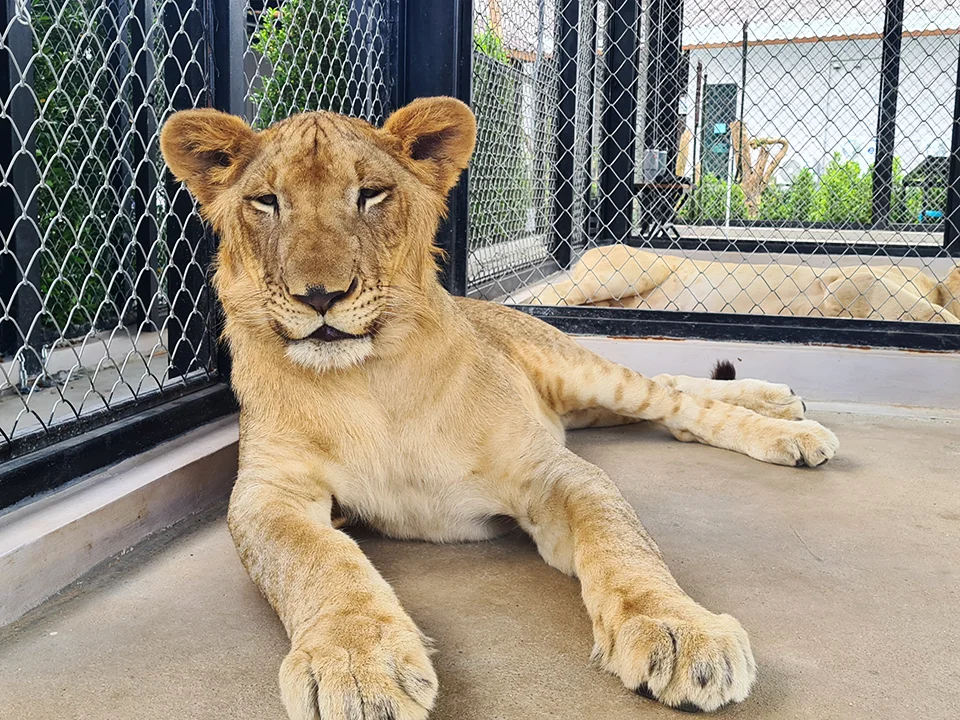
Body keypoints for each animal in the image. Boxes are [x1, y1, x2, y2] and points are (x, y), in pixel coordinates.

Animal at [159, 97, 840, 719]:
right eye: (266, 202)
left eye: (371, 195)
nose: (321, 295)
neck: (367, 378)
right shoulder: (267, 490)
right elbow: (317, 560)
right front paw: (355, 662)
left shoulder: (550, 469)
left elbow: (621, 540)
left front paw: (680, 628)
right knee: (670, 401)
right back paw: (783, 405)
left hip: (584, 374)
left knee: (671, 398)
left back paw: (791, 425)